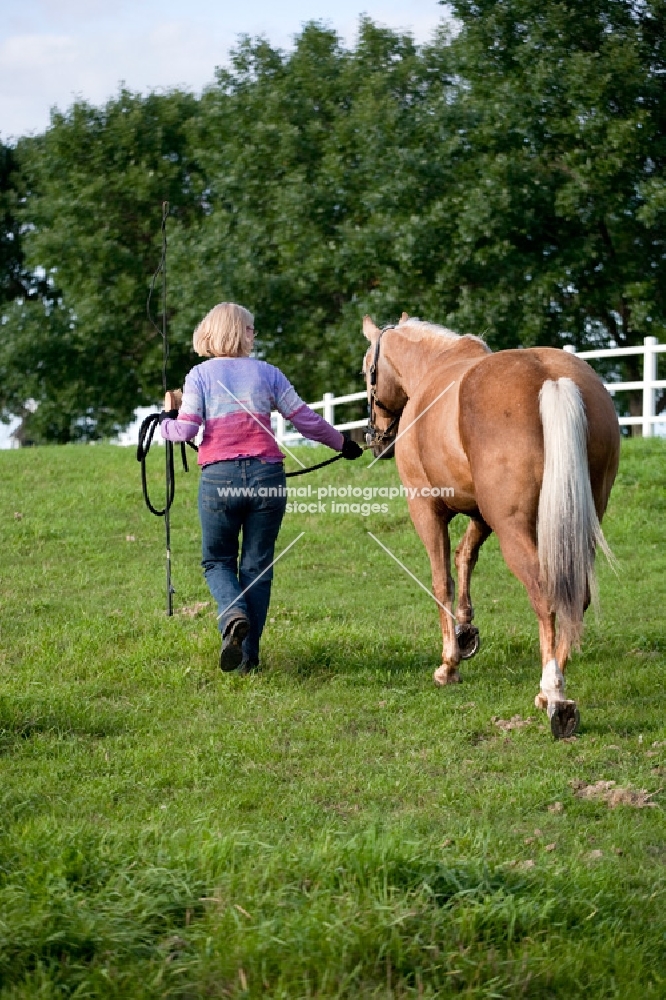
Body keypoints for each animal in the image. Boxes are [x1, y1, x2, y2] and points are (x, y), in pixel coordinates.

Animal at [364, 316, 616, 740]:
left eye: (367, 371)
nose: (377, 437)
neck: (433, 369)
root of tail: (551, 378)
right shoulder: (482, 514)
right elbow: (466, 556)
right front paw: (465, 631)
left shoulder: (426, 508)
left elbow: (442, 581)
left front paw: (449, 663)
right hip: (580, 521)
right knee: (575, 595)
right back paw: (549, 690)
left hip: (514, 529)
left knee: (545, 594)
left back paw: (555, 695)